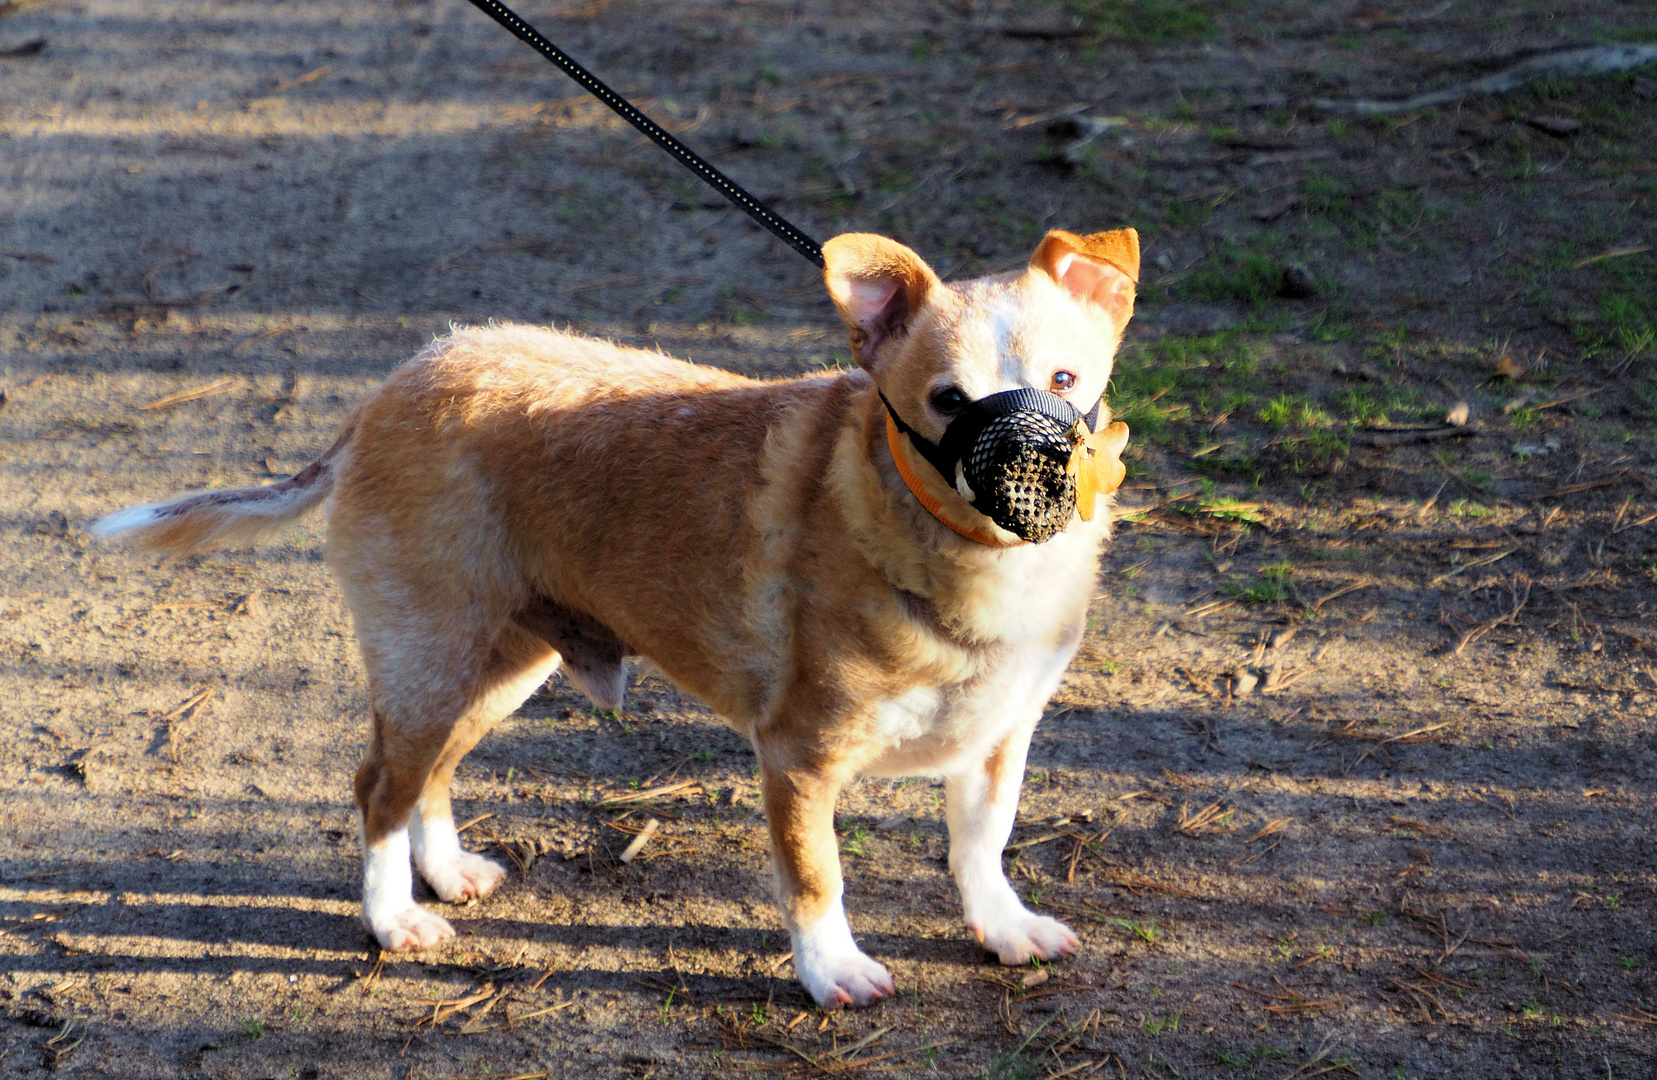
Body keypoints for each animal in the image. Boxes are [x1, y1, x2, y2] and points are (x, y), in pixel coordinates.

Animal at [94, 230, 1140, 1013]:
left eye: (1065, 378)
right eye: (945, 401)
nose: (1036, 463)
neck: (958, 555)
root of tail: (389, 390)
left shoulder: (999, 739)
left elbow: (981, 846)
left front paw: (1002, 929)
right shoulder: (797, 758)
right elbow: (817, 882)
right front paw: (832, 972)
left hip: (498, 669)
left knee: (429, 777)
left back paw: (446, 873)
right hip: (431, 660)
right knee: (378, 789)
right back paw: (395, 921)